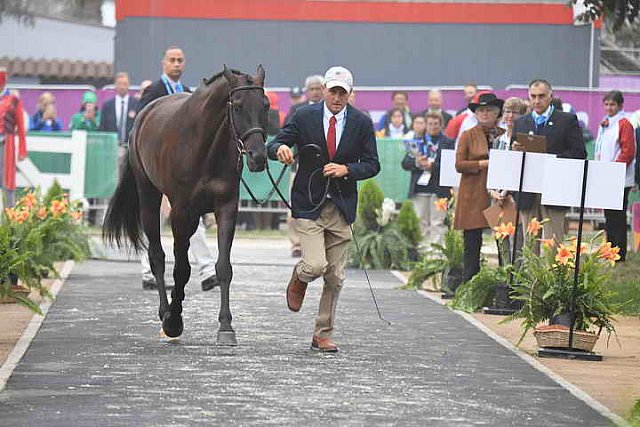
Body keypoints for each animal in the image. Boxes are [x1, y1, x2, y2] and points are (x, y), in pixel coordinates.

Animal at [103, 67, 268, 348]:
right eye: (237, 106)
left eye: (265, 105)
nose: (258, 157)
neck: (206, 148)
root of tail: (145, 114)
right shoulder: (180, 212)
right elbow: (181, 269)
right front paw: (173, 320)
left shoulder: (226, 208)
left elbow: (223, 267)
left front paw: (226, 326)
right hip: (149, 197)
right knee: (157, 255)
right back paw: (164, 311)